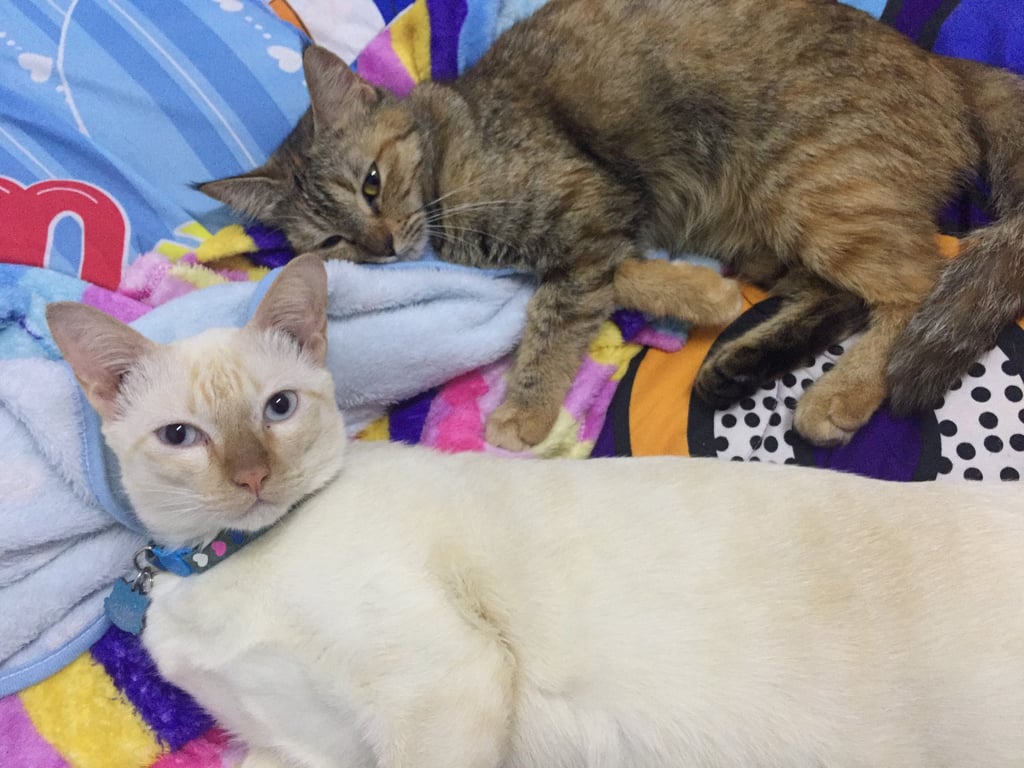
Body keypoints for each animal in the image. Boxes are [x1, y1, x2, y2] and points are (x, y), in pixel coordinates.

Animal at [47, 254, 1024, 768]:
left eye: (278, 409)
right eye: (182, 436)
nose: (251, 477)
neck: (220, 562)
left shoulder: (437, 685)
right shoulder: (293, 751)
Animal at [198, 0, 1024, 452]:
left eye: (371, 184)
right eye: (331, 242)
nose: (382, 246)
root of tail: (947, 66)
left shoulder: (591, 208)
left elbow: (556, 307)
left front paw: (524, 410)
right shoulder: (600, 227)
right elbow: (602, 277)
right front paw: (697, 297)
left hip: (817, 190)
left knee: (913, 285)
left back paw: (839, 395)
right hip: (777, 225)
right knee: (838, 294)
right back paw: (742, 360)